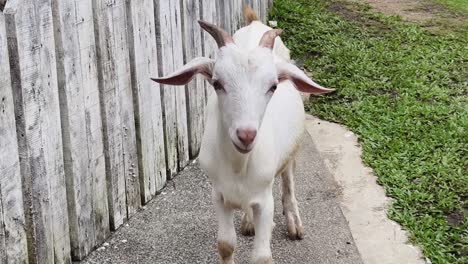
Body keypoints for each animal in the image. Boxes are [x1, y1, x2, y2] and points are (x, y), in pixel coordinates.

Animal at [153, 6, 332, 264]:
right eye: (217, 83)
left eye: (273, 86)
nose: (246, 135)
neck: (238, 166)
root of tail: (256, 22)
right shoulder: (218, 195)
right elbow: (226, 245)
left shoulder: (265, 201)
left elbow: (262, 257)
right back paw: (248, 221)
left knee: (288, 177)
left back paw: (294, 223)